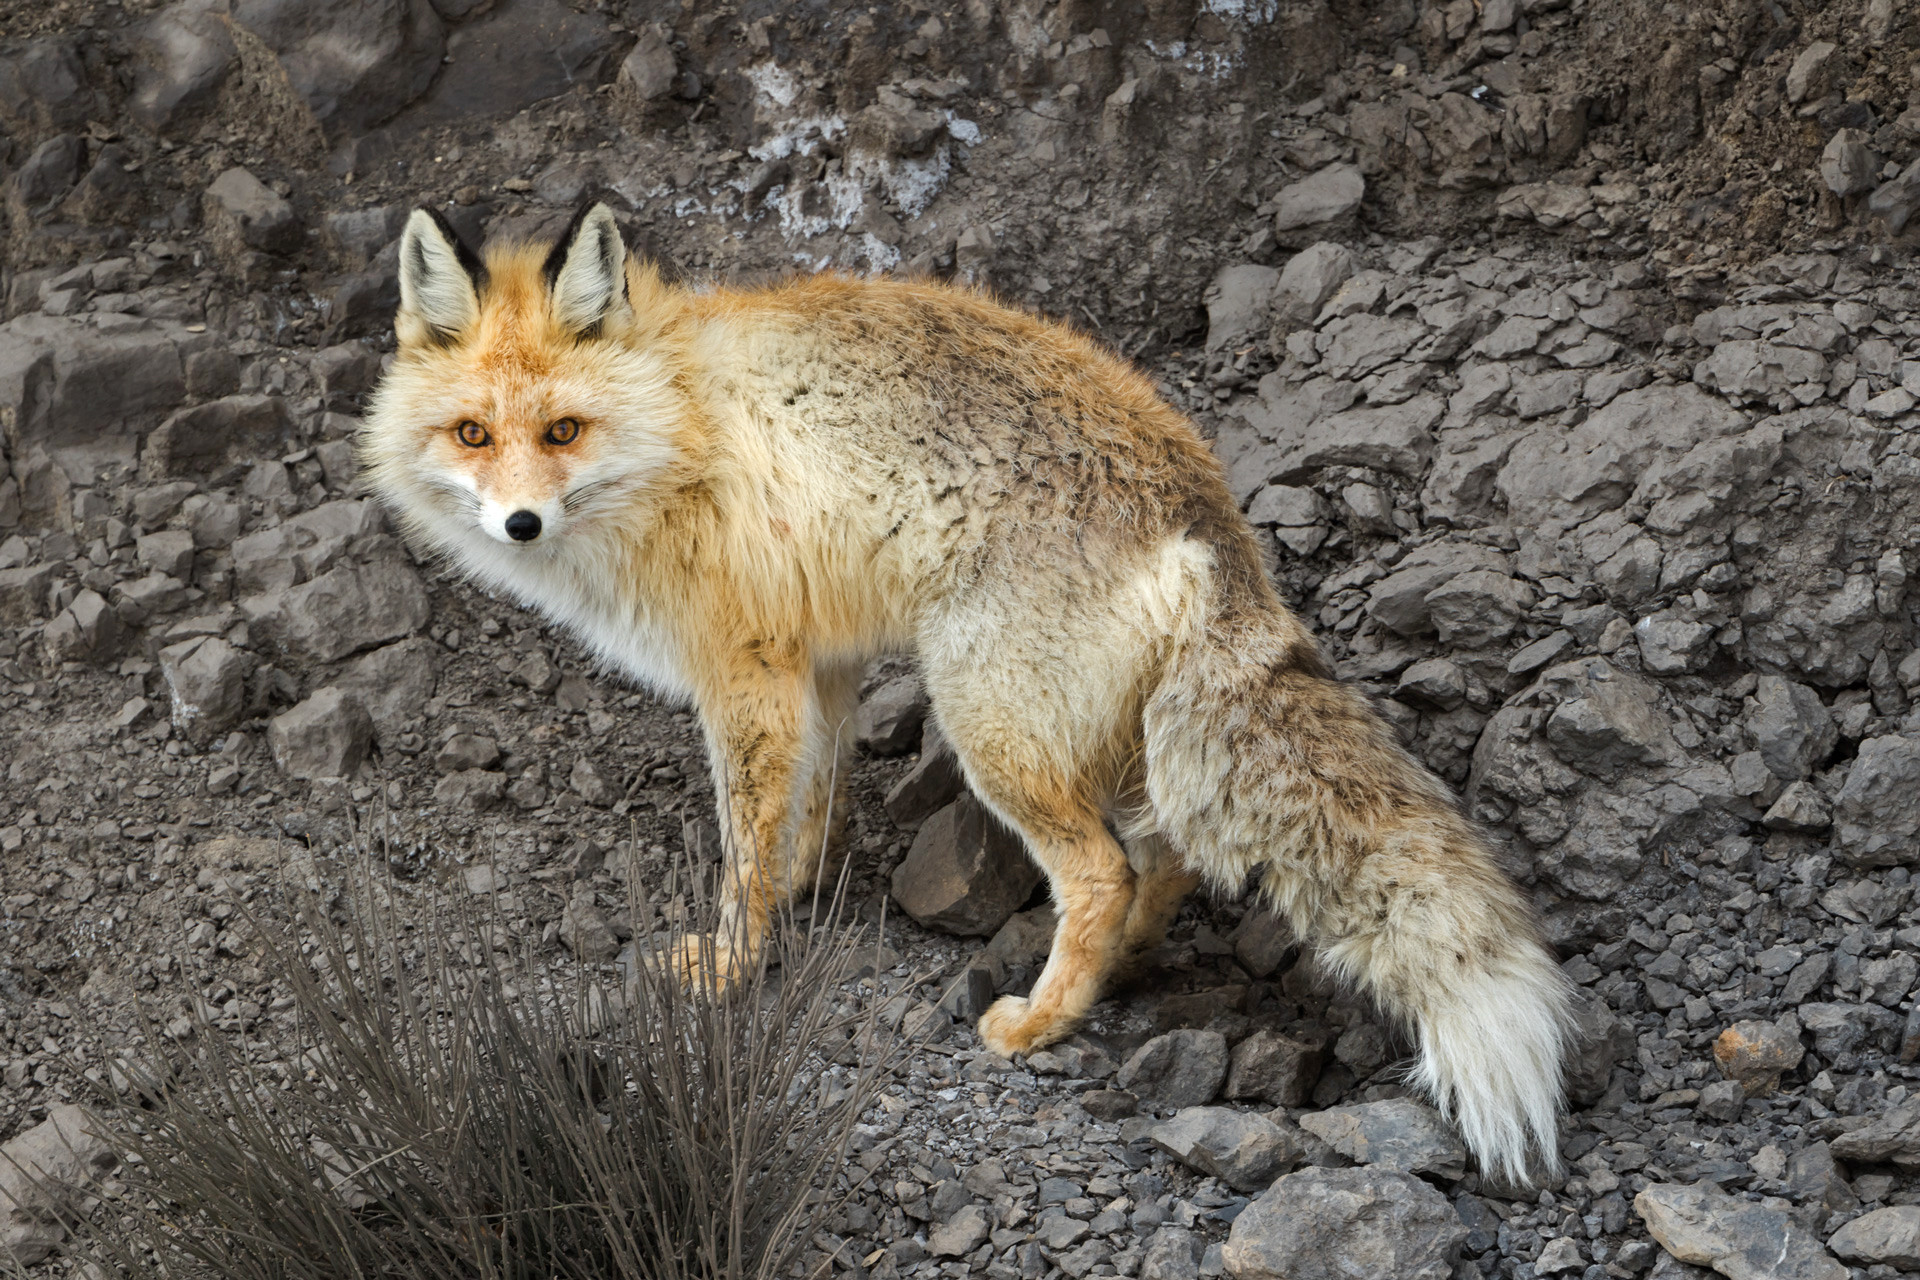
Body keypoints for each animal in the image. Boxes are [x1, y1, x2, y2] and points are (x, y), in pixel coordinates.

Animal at [360, 205, 1574, 1189]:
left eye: (563, 431)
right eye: (473, 434)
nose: (520, 523)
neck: (678, 423)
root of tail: (1203, 509)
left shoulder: (744, 669)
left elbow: (744, 845)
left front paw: (731, 964)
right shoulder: (816, 660)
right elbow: (806, 810)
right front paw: (802, 894)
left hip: (990, 726)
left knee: (1103, 870)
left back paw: (1040, 1021)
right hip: (1086, 735)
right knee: (1163, 858)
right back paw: (1121, 970)